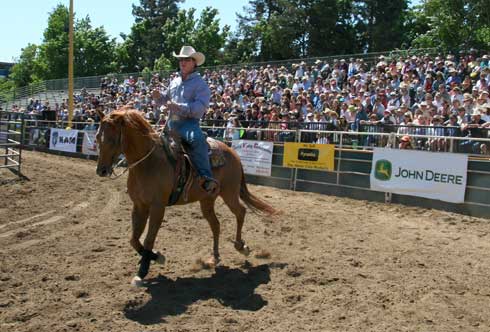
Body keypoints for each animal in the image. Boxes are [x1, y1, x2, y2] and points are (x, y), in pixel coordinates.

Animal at [94, 108, 274, 286]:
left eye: (111, 139)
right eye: (97, 137)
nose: (101, 170)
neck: (148, 162)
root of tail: (233, 153)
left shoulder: (158, 207)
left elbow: (148, 239)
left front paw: (143, 270)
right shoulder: (139, 205)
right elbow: (134, 239)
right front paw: (155, 256)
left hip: (229, 193)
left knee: (240, 212)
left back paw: (241, 246)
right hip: (207, 200)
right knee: (216, 225)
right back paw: (214, 256)